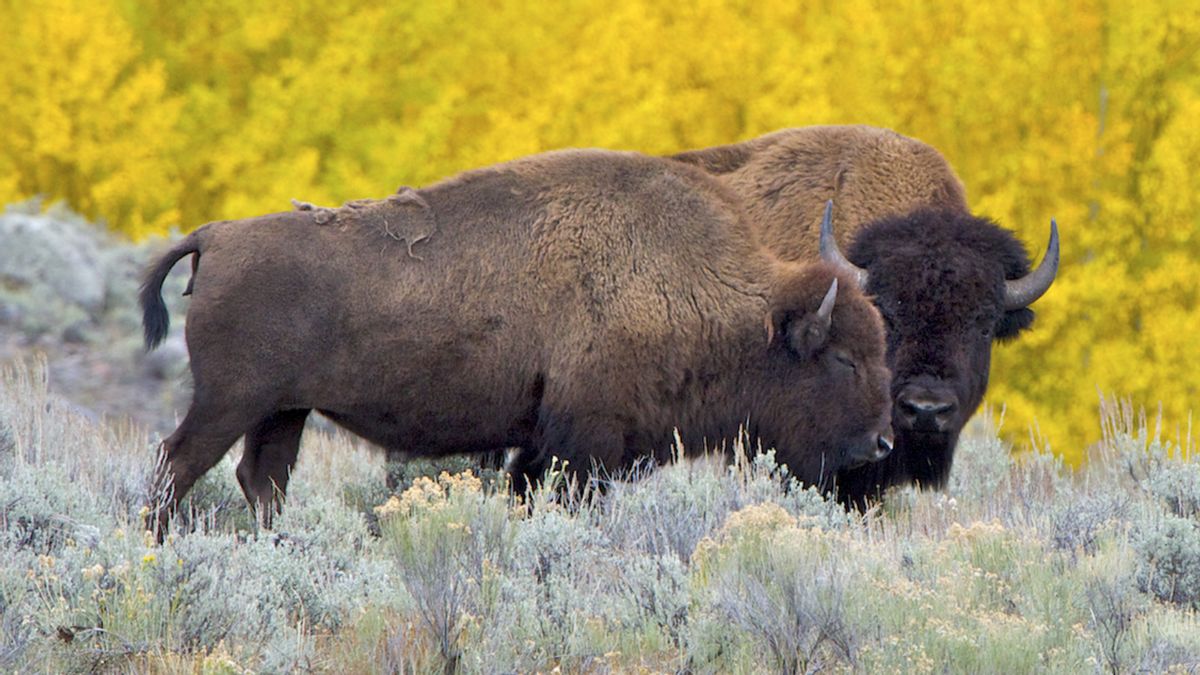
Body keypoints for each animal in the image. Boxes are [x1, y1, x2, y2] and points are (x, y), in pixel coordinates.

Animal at [140, 149, 893, 533]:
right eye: (843, 357)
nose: (882, 443)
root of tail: (216, 236)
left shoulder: (546, 448)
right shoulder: (585, 445)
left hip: (282, 411)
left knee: (260, 478)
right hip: (229, 402)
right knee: (177, 464)